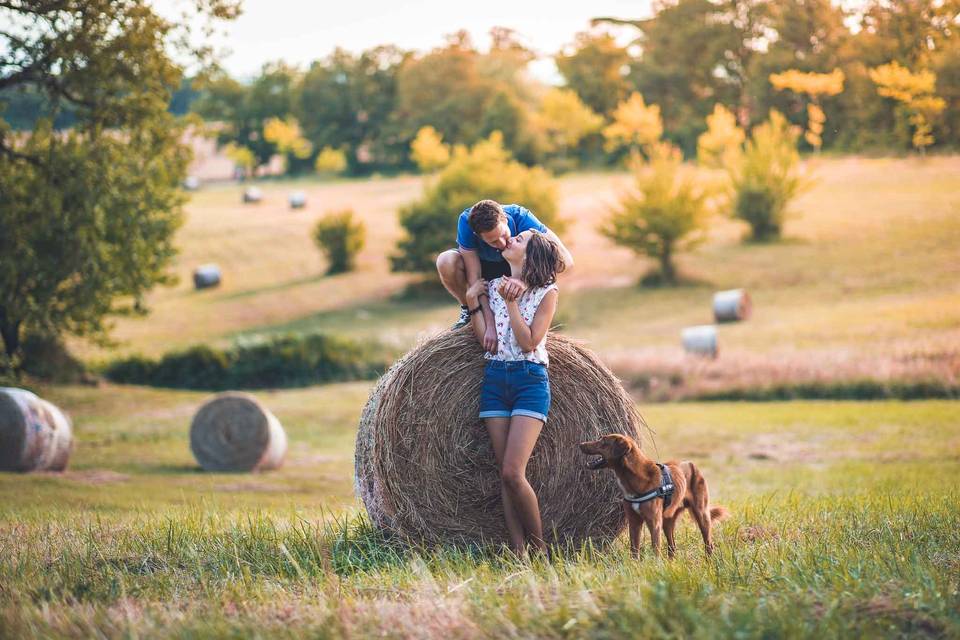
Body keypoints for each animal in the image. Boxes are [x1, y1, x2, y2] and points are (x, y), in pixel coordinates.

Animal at [576, 432, 728, 556]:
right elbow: (634, 550)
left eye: (602, 441)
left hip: (701, 514)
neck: (634, 476)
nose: (580, 444)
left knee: (709, 544)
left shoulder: (653, 522)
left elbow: (655, 550)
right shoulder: (634, 522)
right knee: (672, 547)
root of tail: (690, 463)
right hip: (668, 520)